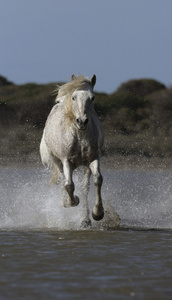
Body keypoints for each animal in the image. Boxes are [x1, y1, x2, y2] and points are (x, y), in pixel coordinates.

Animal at [40, 74, 104, 226]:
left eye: (92, 97)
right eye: (74, 97)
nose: (82, 121)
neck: (79, 135)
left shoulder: (93, 158)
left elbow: (98, 180)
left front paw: (98, 213)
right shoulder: (66, 161)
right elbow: (69, 185)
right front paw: (73, 201)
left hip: (85, 165)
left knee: (85, 187)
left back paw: (85, 220)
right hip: (57, 160)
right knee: (64, 180)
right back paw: (65, 202)